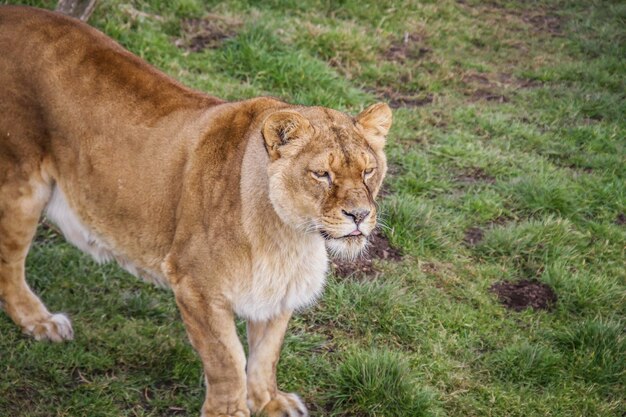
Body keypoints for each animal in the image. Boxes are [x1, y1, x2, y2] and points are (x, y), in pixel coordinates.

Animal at [0, 6, 390, 416]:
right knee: (9, 264)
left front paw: (269, 402)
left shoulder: (278, 291)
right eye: (322, 174)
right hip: (22, 182)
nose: (359, 215)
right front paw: (229, 411)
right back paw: (40, 322)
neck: (290, 237)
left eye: (368, 170)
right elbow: (228, 360)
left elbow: (266, 354)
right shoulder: (194, 285)